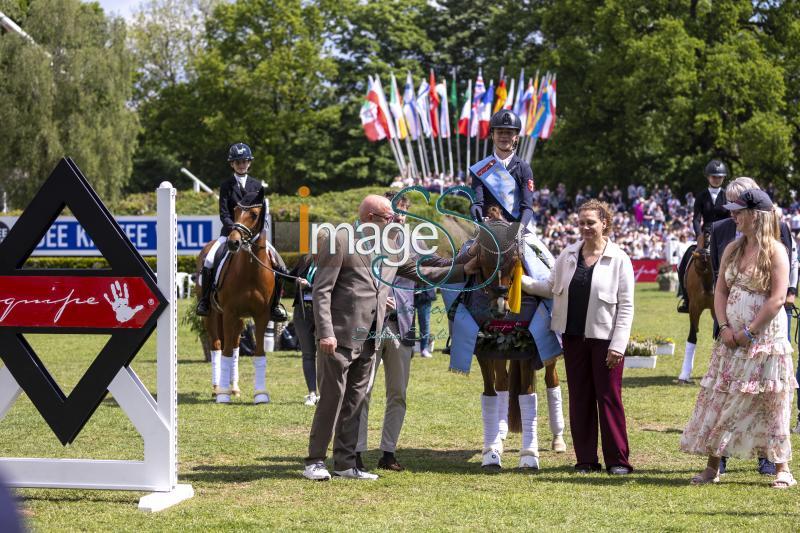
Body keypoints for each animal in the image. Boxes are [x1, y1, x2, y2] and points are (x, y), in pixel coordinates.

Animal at [195, 189, 276, 402]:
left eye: (254, 214)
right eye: (236, 210)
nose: (233, 242)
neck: (250, 270)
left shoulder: (261, 315)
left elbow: (258, 352)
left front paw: (260, 394)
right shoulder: (229, 312)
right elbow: (225, 352)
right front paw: (222, 395)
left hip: (239, 319)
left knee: (235, 346)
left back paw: (235, 388)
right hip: (213, 315)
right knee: (217, 346)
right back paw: (218, 388)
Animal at [472, 206, 564, 472]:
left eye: (514, 262)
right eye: (483, 261)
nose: (500, 307)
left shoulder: (527, 350)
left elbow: (527, 396)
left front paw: (529, 455)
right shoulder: (483, 349)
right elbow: (490, 395)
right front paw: (491, 452)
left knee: (552, 381)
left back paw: (558, 439)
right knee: (503, 384)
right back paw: (500, 433)